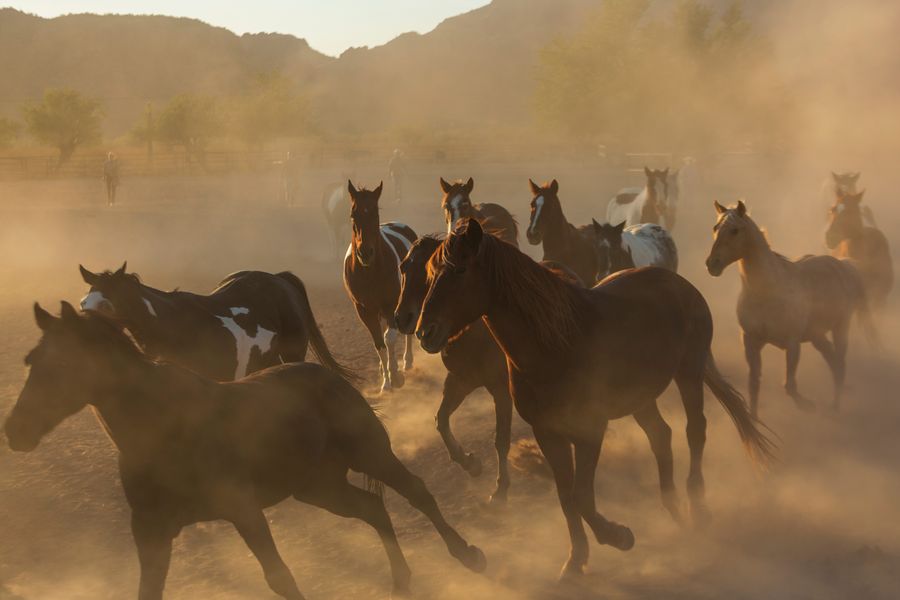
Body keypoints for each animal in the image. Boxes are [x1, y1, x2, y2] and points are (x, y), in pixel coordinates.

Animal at [5, 304, 486, 600]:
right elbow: (149, 589)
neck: (162, 429)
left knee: (417, 492)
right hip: (318, 487)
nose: (14, 431)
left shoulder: (242, 509)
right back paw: (401, 582)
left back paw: (469, 555)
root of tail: (327, 377)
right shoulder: (150, 530)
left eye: (62, 365)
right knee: (372, 509)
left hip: (370, 454)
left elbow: (279, 576)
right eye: (30, 362)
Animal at [344, 180, 418, 392]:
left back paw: (406, 361)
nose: (365, 252)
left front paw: (395, 375)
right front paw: (386, 382)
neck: (370, 272)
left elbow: (389, 338)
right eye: (353, 214)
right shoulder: (364, 311)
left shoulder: (390, 305)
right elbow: (379, 344)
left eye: (375, 214)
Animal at [414, 218, 772, 580]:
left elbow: (582, 497)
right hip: (642, 398)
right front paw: (576, 558)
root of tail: (681, 285)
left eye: (460, 270)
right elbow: (566, 496)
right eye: (431, 273)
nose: (424, 332)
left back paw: (697, 507)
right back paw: (672, 508)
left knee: (695, 430)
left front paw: (619, 536)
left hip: (689, 372)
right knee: (661, 436)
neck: (554, 344)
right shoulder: (548, 433)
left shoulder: (589, 431)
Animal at [708, 199, 876, 414]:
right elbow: (754, 384)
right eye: (715, 228)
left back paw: (834, 407)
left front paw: (808, 405)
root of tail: (845, 265)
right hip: (817, 335)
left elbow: (789, 386)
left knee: (839, 364)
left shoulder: (792, 343)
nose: (712, 264)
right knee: (833, 361)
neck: (767, 291)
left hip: (841, 327)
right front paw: (753, 420)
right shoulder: (751, 341)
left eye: (735, 230)